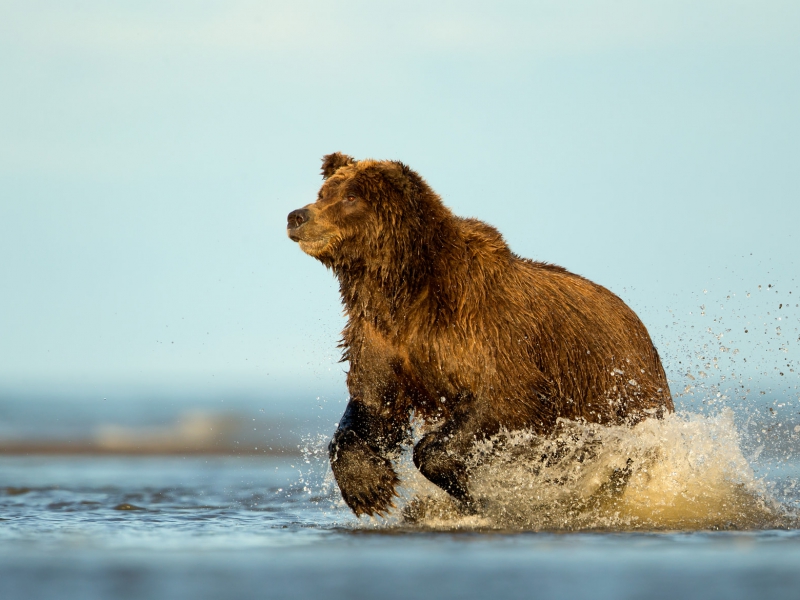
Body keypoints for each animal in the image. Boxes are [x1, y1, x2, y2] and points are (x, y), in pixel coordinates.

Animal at [287, 152, 673, 517]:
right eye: (323, 193)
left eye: (351, 197)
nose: (297, 216)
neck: (402, 291)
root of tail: (636, 322)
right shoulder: (379, 337)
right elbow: (374, 405)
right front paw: (369, 487)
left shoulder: (485, 330)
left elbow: (502, 396)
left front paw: (472, 488)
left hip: (617, 389)